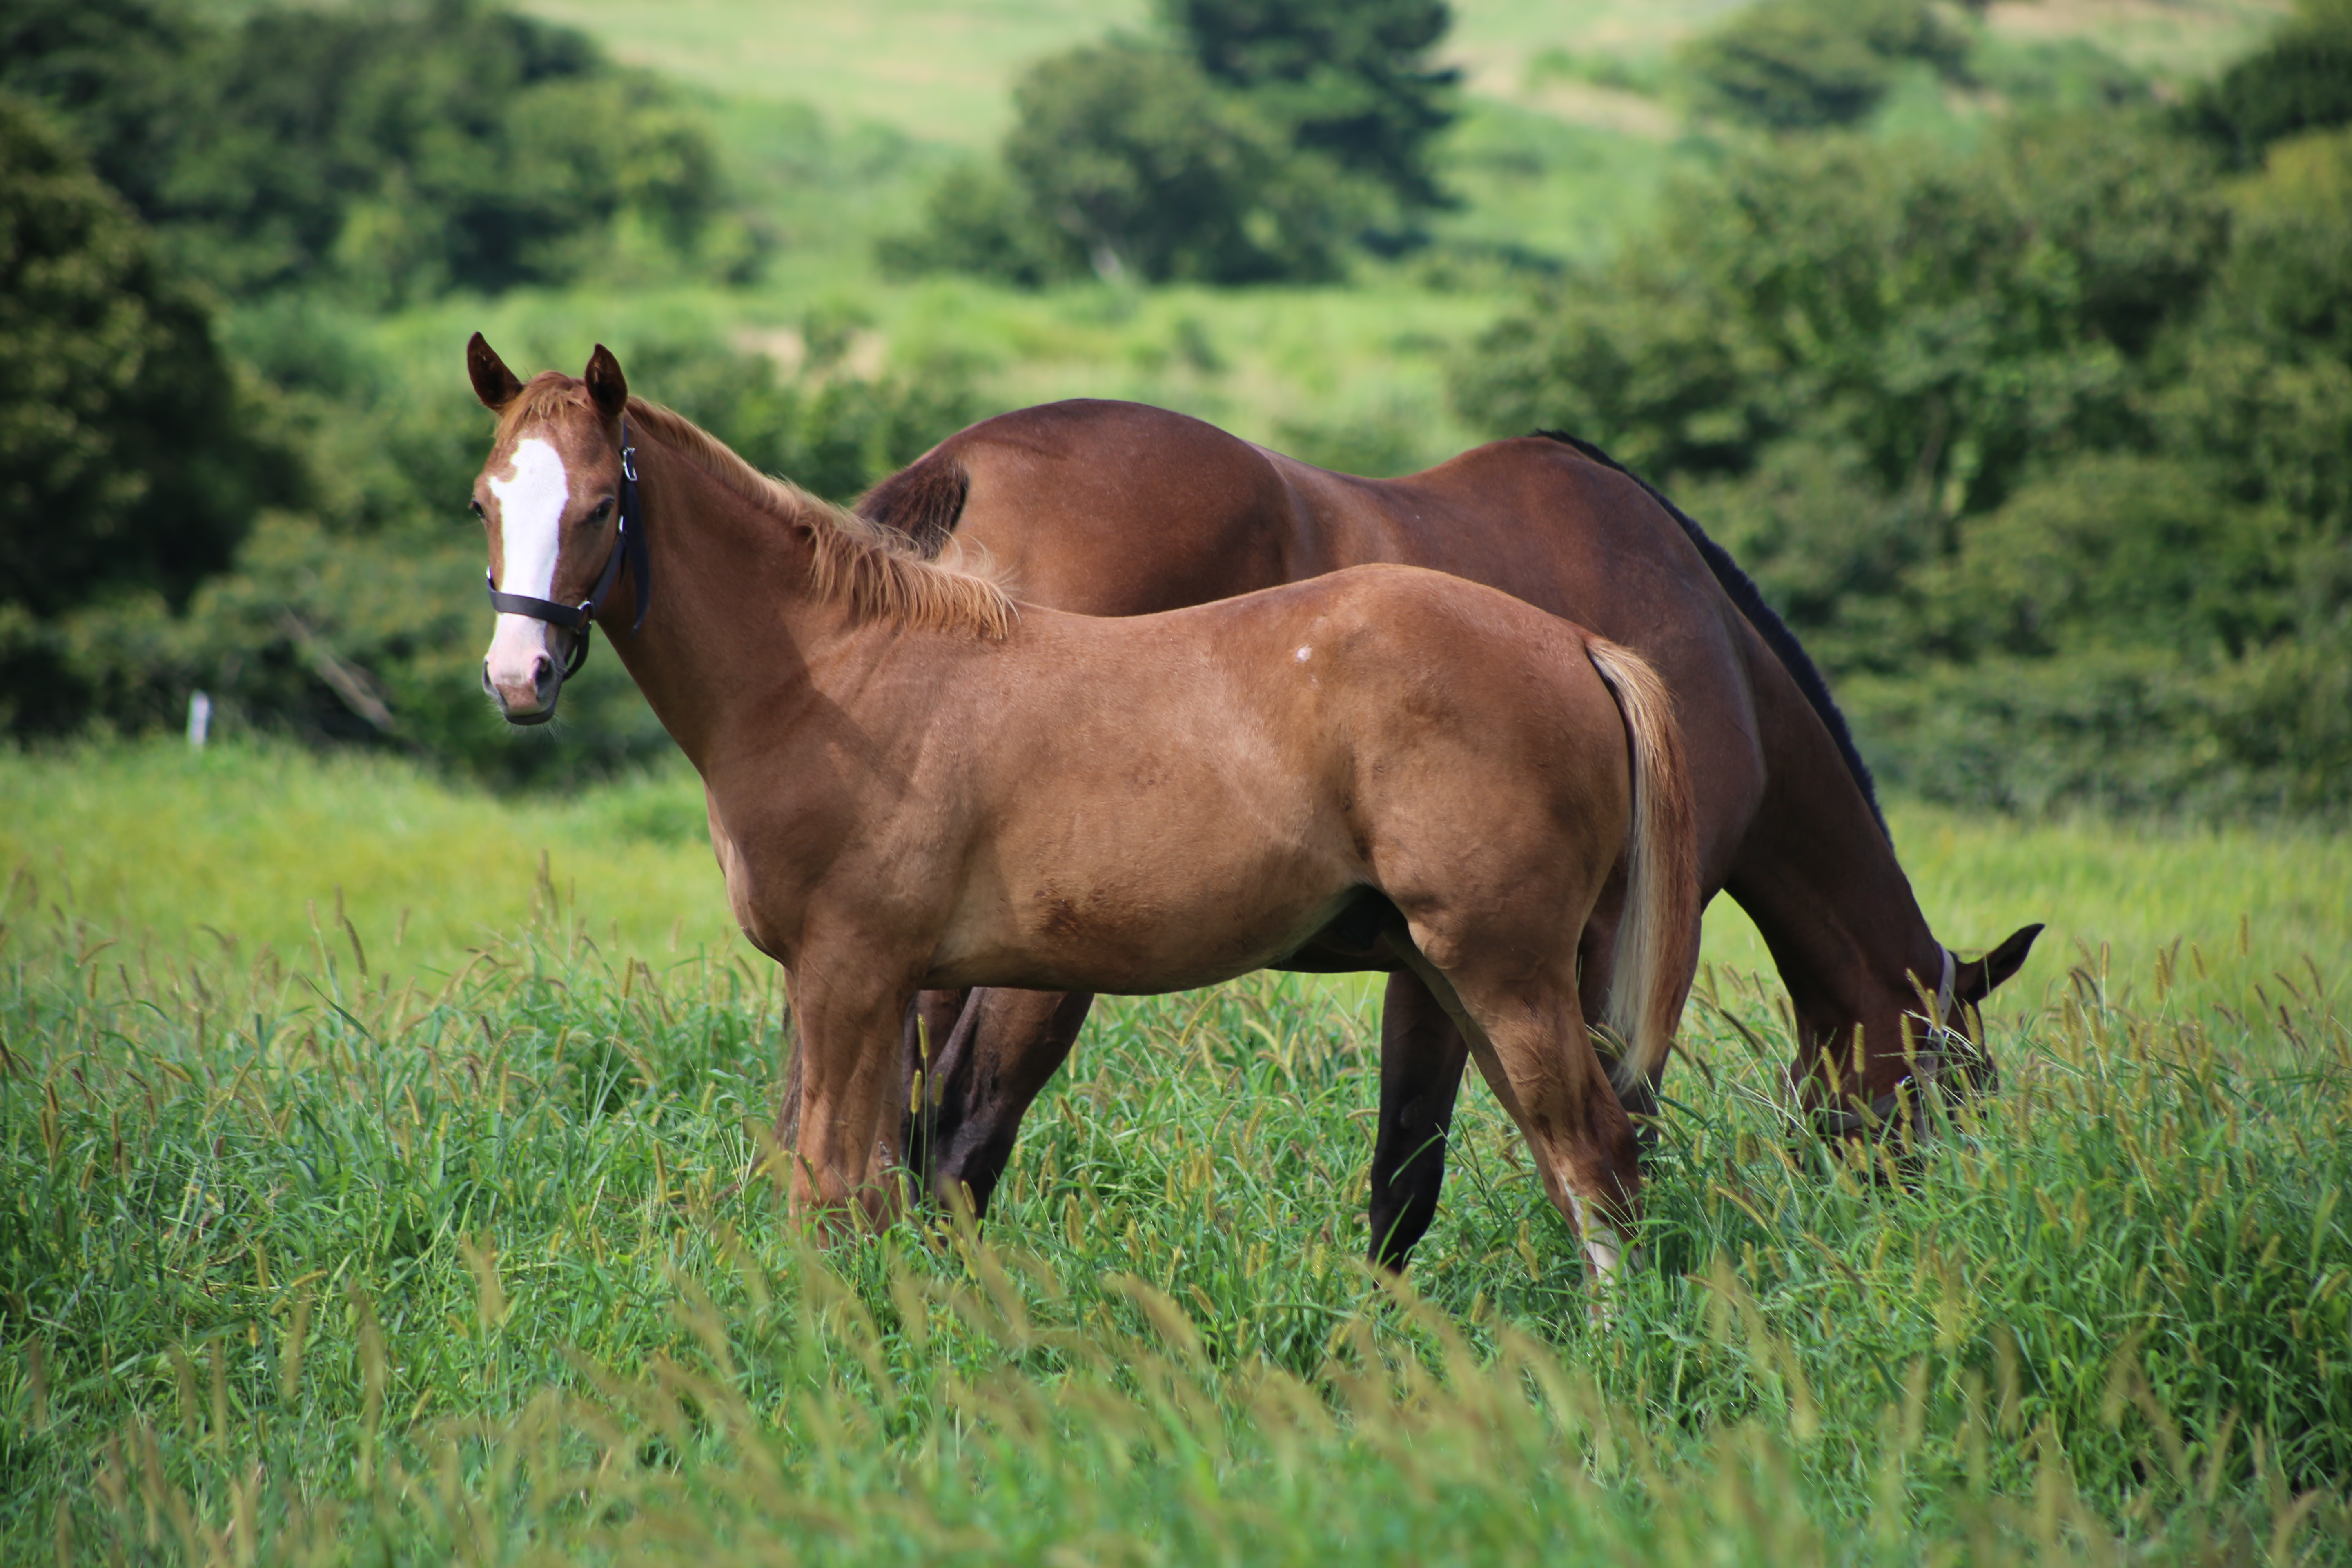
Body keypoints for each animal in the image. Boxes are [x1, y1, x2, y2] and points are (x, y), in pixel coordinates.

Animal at [463, 343, 1693, 1288]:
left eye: (603, 505)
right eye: (485, 500)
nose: (519, 677)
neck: (836, 674)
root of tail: (1576, 645)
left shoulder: (849, 972)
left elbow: (828, 1190)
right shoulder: (881, 985)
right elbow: (868, 1187)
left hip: (1503, 965)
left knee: (1596, 1156)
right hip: (1457, 972)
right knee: (1567, 1160)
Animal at [851, 399, 2041, 1269]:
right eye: (1955, 1084)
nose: (1910, 1228)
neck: (1715, 655)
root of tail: (965, 470)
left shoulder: (1438, 965)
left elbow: (1407, 1167)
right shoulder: (1597, 954)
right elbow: (1577, 1137)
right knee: (963, 1126)